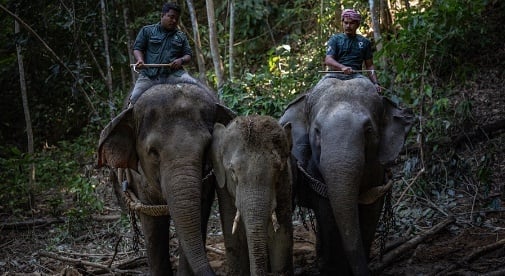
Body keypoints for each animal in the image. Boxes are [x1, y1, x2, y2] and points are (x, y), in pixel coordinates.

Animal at [210, 115, 296, 276]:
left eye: (278, 169)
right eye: (232, 171)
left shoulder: (285, 185)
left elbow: (281, 237)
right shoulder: (224, 190)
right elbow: (234, 238)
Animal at [280, 76, 414, 274]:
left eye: (368, 130)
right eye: (317, 131)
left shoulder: (377, 173)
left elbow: (371, 211)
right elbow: (327, 213)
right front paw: (332, 268)